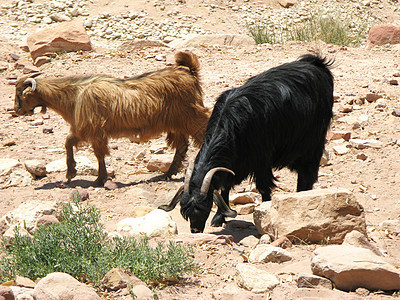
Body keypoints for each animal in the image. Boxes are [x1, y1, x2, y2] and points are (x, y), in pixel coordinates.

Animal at [13, 52, 209, 188]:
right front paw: (71, 173)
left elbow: (98, 155)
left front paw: (98, 180)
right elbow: (68, 143)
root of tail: (189, 73)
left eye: (20, 94)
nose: (16, 111)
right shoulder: (82, 130)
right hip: (177, 124)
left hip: (192, 117)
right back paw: (166, 174)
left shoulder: (93, 131)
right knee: (181, 146)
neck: (73, 95)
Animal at [159, 53, 334, 232]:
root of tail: (316, 64)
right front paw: (219, 217)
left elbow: (263, 186)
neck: (233, 125)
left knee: (307, 173)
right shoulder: (234, 163)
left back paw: (303, 195)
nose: (195, 230)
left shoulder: (262, 159)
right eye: (185, 211)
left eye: (205, 206)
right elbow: (225, 187)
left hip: (313, 141)